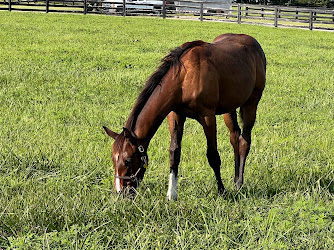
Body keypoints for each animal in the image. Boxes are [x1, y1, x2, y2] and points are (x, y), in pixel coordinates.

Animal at [104, 33, 266, 201]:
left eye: (128, 160)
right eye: (113, 159)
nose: (120, 192)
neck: (184, 76)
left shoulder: (208, 117)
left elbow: (213, 156)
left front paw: (221, 190)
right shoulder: (175, 115)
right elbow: (174, 153)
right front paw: (171, 194)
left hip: (251, 103)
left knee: (244, 140)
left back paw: (239, 183)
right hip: (229, 108)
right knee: (234, 137)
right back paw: (235, 180)